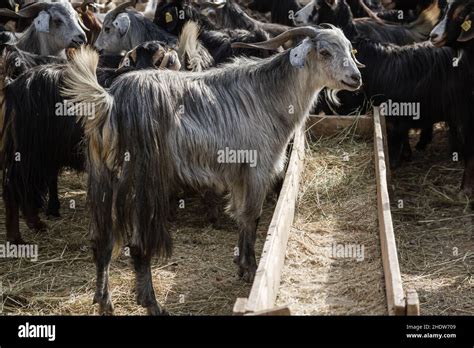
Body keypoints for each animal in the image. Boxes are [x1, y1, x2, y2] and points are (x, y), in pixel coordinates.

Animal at [59, 26, 362, 316]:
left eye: (349, 48)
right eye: (324, 52)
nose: (355, 77)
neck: (269, 95)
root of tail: (111, 103)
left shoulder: (238, 174)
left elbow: (240, 216)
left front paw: (241, 263)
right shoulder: (258, 168)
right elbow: (252, 217)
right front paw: (251, 269)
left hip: (102, 176)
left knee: (102, 240)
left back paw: (104, 302)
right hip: (144, 180)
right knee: (138, 246)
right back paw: (152, 304)